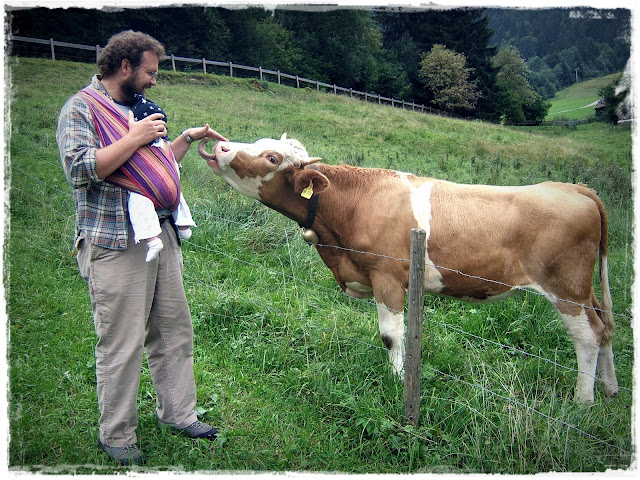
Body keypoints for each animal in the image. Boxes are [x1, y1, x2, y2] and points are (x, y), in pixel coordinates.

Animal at [198, 134, 618, 403]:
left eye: (271, 158)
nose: (219, 145)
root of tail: (575, 188)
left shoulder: (388, 277)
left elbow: (391, 336)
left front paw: (398, 380)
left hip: (566, 287)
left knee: (587, 337)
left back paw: (583, 401)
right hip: (585, 290)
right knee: (605, 327)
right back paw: (610, 388)